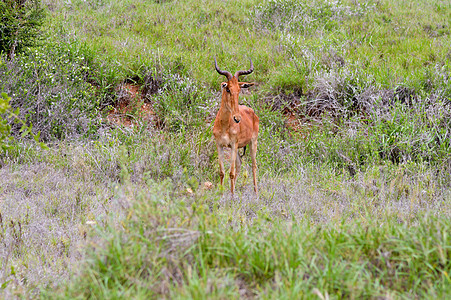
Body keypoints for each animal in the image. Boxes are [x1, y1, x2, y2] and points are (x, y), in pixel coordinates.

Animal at [214, 58, 260, 196]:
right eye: (228, 89)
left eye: (239, 90)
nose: (237, 118)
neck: (224, 125)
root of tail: (252, 112)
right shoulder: (220, 145)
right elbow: (222, 172)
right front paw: (222, 194)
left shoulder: (233, 145)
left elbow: (231, 173)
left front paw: (232, 196)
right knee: (239, 166)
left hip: (253, 142)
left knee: (254, 166)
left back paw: (256, 194)